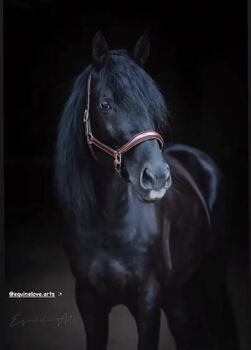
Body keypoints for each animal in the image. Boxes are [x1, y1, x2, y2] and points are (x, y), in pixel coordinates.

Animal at [55, 31, 233, 348]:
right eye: (105, 105)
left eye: (152, 105)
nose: (158, 177)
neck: (108, 225)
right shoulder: (88, 301)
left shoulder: (148, 300)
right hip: (177, 291)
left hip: (212, 273)